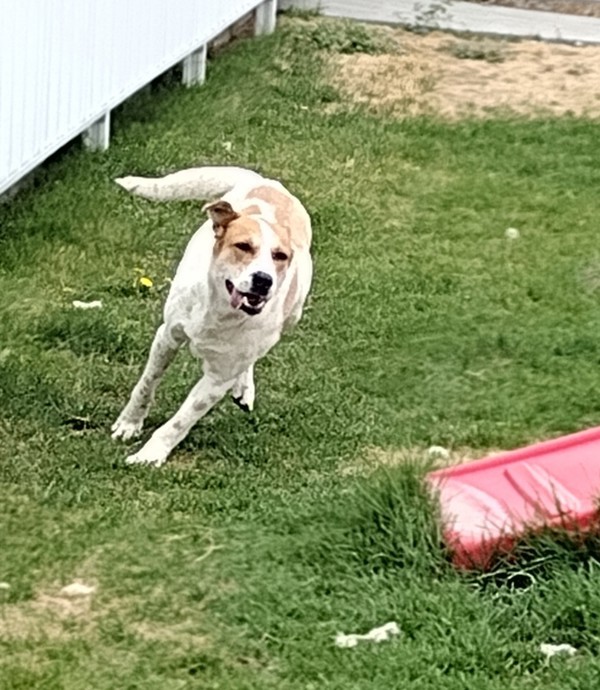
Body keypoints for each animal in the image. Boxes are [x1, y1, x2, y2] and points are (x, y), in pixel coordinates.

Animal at [109, 167, 312, 468]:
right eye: (243, 246)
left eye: (280, 256)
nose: (263, 280)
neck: (220, 311)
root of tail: (268, 183)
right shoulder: (167, 337)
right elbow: (146, 384)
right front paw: (129, 424)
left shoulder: (219, 377)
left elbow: (180, 421)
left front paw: (150, 454)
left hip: (293, 314)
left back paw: (244, 388)